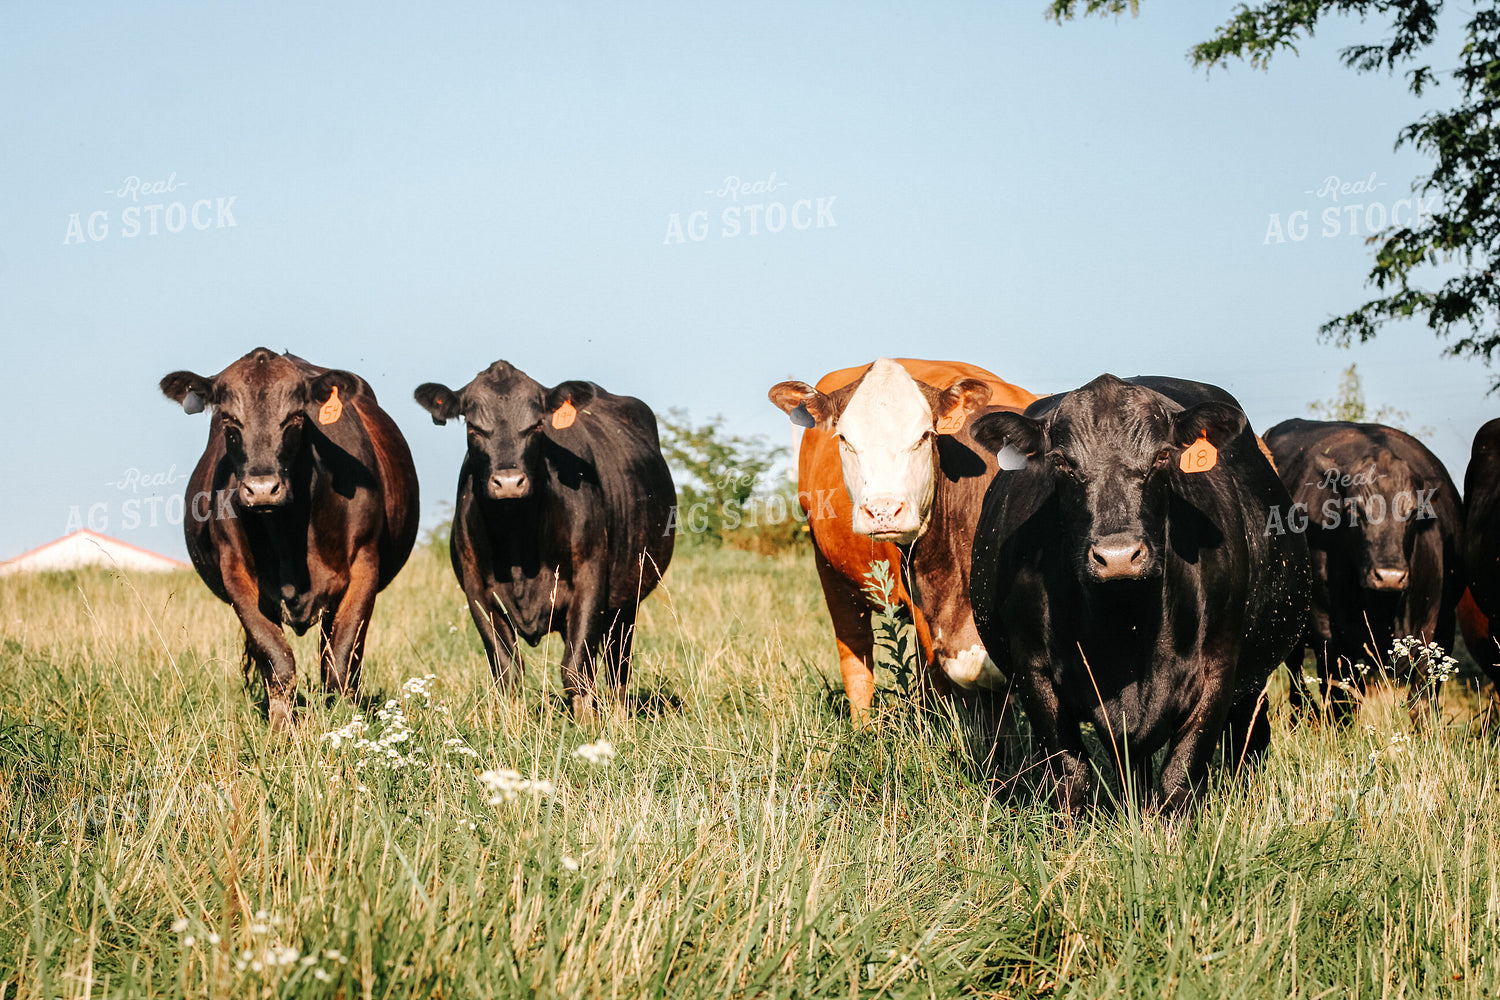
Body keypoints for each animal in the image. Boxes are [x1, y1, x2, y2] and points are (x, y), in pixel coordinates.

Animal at [160, 348, 420, 729]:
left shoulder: (364, 567)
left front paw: (344, 723)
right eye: (228, 420)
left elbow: (341, 660)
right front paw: (281, 730)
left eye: (296, 418)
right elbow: (276, 659)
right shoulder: (237, 576)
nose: (262, 489)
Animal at [414, 361, 674, 717]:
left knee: (616, 664)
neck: (518, 538)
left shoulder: (590, 577)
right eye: (474, 426)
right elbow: (508, 669)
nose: (509, 482)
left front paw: (588, 724)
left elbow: (575, 668)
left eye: (536, 425)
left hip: (626, 599)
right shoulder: (476, 590)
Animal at [767, 358, 1039, 726]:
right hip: (830, 574)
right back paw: (863, 731)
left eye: (924, 436)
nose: (883, 510)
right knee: (857, 656)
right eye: (845, 439)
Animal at [967, 375, 1310, 814]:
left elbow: (1180, 777)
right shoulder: (1034, 672)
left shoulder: (1219, 671)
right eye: (1062, 462)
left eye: (1162, 455)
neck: (1125, 626)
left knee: (1249, 738)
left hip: (1256, 677)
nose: (1118, 557)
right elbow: (1070, 777)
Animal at [1263, 418, 1463, 717]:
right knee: (1297, 678)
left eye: (1413, 512)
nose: (1390, 577)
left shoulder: (1432, 627)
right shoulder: (1326, 631)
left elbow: (1422, 701)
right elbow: (1341, 699)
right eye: (1355, 510)